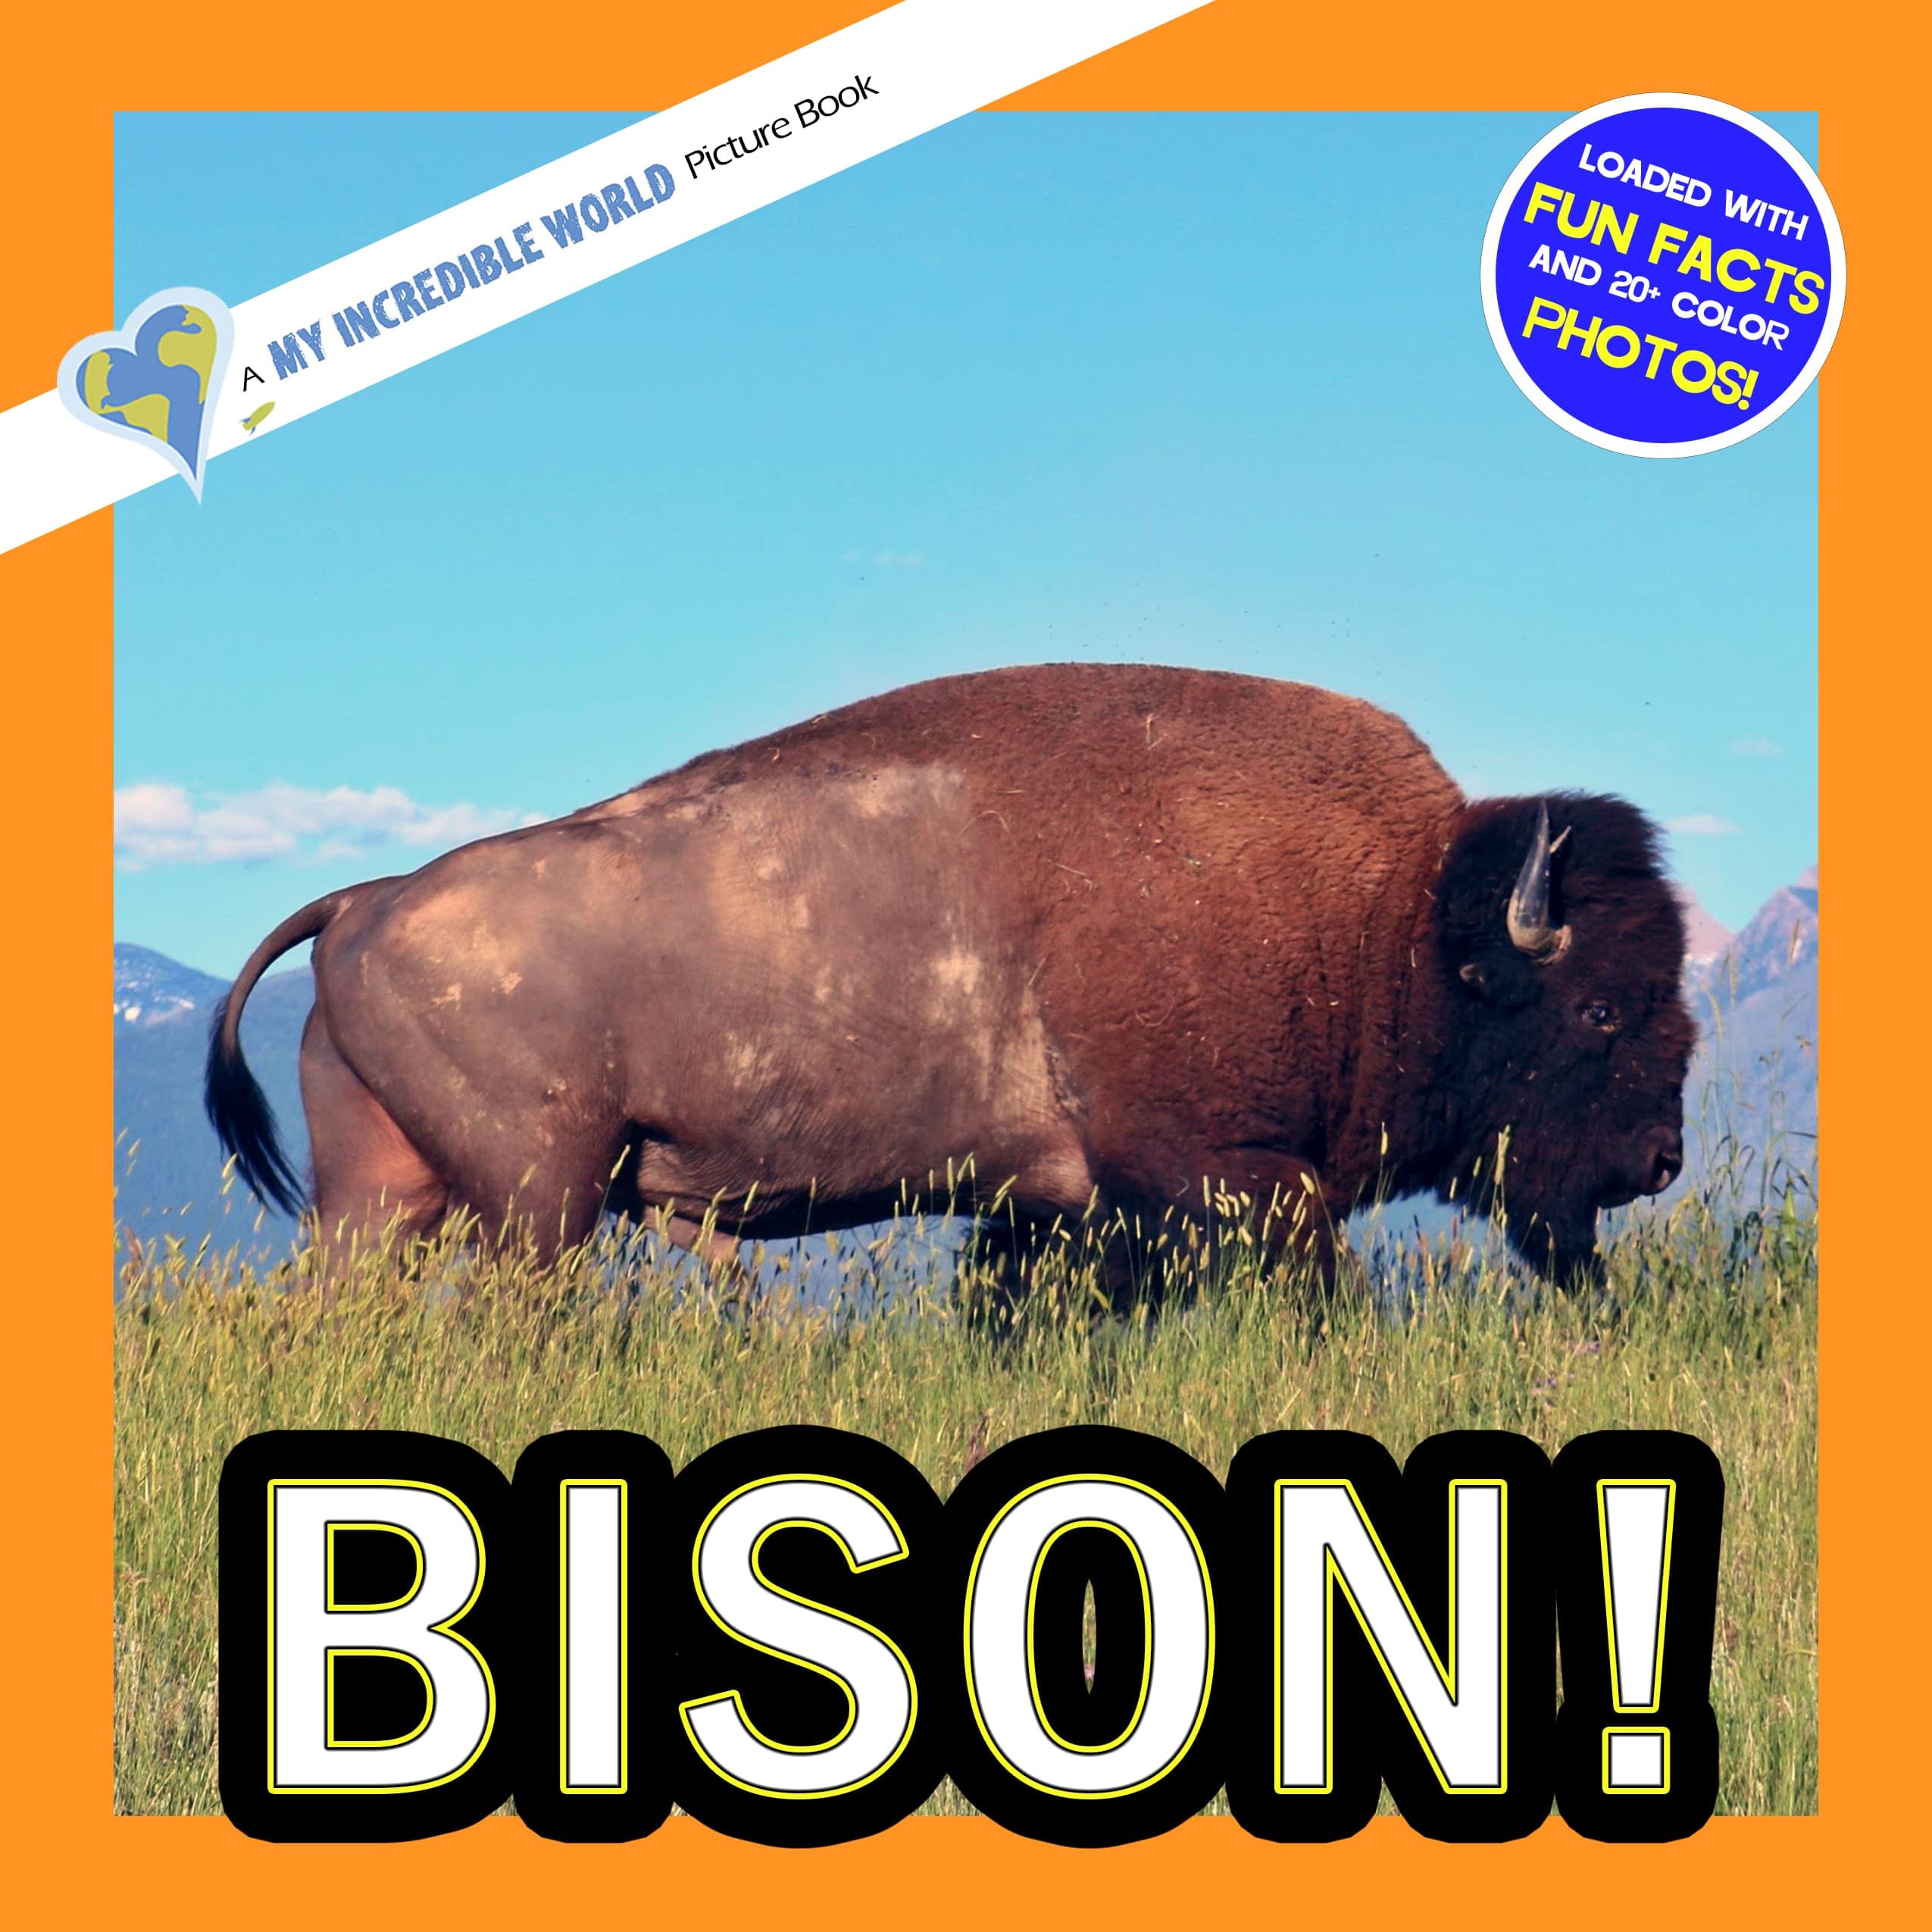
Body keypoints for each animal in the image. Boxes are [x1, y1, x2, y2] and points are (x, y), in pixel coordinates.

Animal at [208, 664, 1691, 1292]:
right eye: (1601, 1007)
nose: (1661, 1159)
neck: (1388, 918)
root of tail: (366, 898)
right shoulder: (1227, 1176)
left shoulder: (1057, 1207)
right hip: (541, 1199)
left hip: (383, 1198)